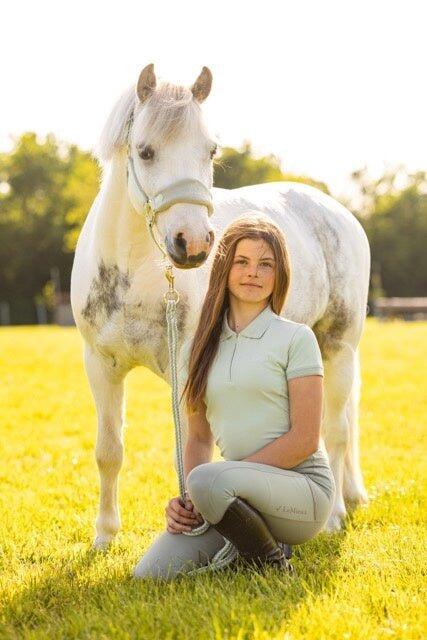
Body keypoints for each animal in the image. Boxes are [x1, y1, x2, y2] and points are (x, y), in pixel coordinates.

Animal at [70, 64, 370, 549]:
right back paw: (355, 494)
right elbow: (108, 451)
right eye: (145, 151)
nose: (193, 244)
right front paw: (104, 535)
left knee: (336, 429)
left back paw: (335, 516)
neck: (137, 272)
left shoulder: (187, 374)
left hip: (339, 346)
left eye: (210, 151)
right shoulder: (101, 366)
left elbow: (193, 453)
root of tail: (335, 209)